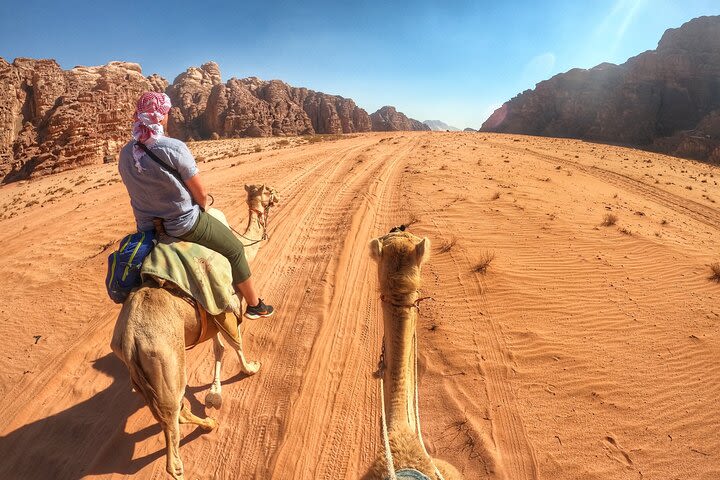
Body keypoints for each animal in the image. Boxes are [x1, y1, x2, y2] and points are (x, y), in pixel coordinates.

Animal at [110, 185, 278, 480]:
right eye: (268, 190)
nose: (277, 197)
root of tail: (129, 341)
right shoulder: (228, 303)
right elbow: (236, 343)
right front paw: (250, 368)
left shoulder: (213, 311)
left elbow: (219, 347)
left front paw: (214, 394)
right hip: (167, 364)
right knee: (172, 439)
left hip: (139, 377)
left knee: (176, 412)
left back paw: (209, 423)